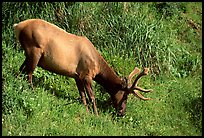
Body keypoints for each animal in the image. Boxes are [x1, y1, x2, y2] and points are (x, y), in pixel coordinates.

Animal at [13, 18, 153, 116]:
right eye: (125, 96)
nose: (122, 112)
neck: (98, 66)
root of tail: (18, 26)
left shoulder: (77, 76)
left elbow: (82, 96)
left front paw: (86, 111)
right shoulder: (86, 75)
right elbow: (92, 97)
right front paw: (96, 114)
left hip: (29, 54)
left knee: (20, 71)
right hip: (34, 50)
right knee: (29, 73)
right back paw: (32, 92)